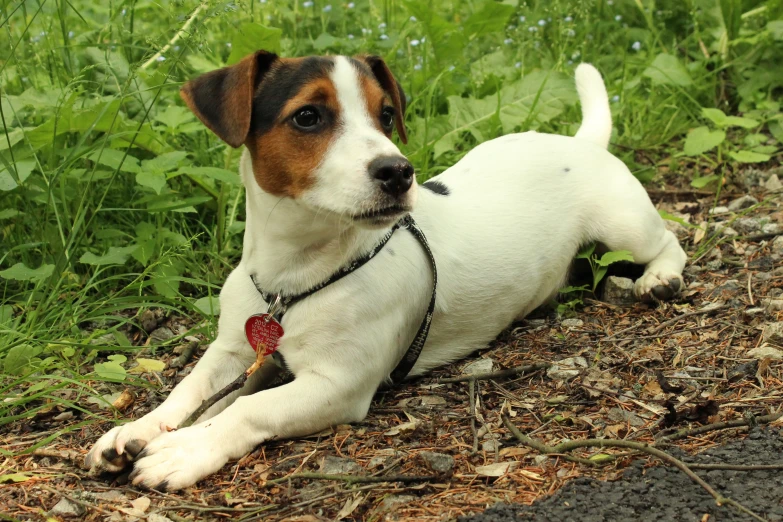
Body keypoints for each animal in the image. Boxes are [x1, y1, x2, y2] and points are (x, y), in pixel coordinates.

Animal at [84, 50, 688, 490]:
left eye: (387, 115)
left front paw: (185, 448)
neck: (294, 277)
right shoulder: (236, 351)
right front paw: (137, 430)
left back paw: (659, 280)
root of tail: (580, 142)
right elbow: (188, 391)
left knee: (669, 239)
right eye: (308, 115)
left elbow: (249, 410)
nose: (398, 171)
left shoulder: (338, 383)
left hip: (624, 224)